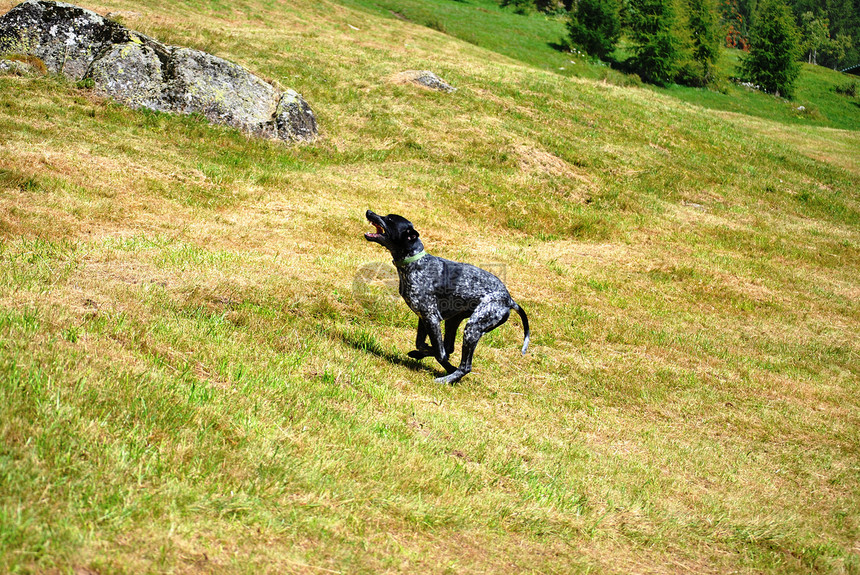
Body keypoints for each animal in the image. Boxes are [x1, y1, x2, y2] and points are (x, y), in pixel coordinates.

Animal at [362, 209, 528, 384]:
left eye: (389, 219)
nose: (369, 211)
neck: (415, 263)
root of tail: (509, 300)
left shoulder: (431, 318)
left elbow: (440, 353)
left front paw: (448, 367)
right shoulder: (424, 318)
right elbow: (424, 345)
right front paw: (422, 352)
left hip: (472, 328)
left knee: (465, 366)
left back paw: (447, 379)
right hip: (454, 321)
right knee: (449, 347)